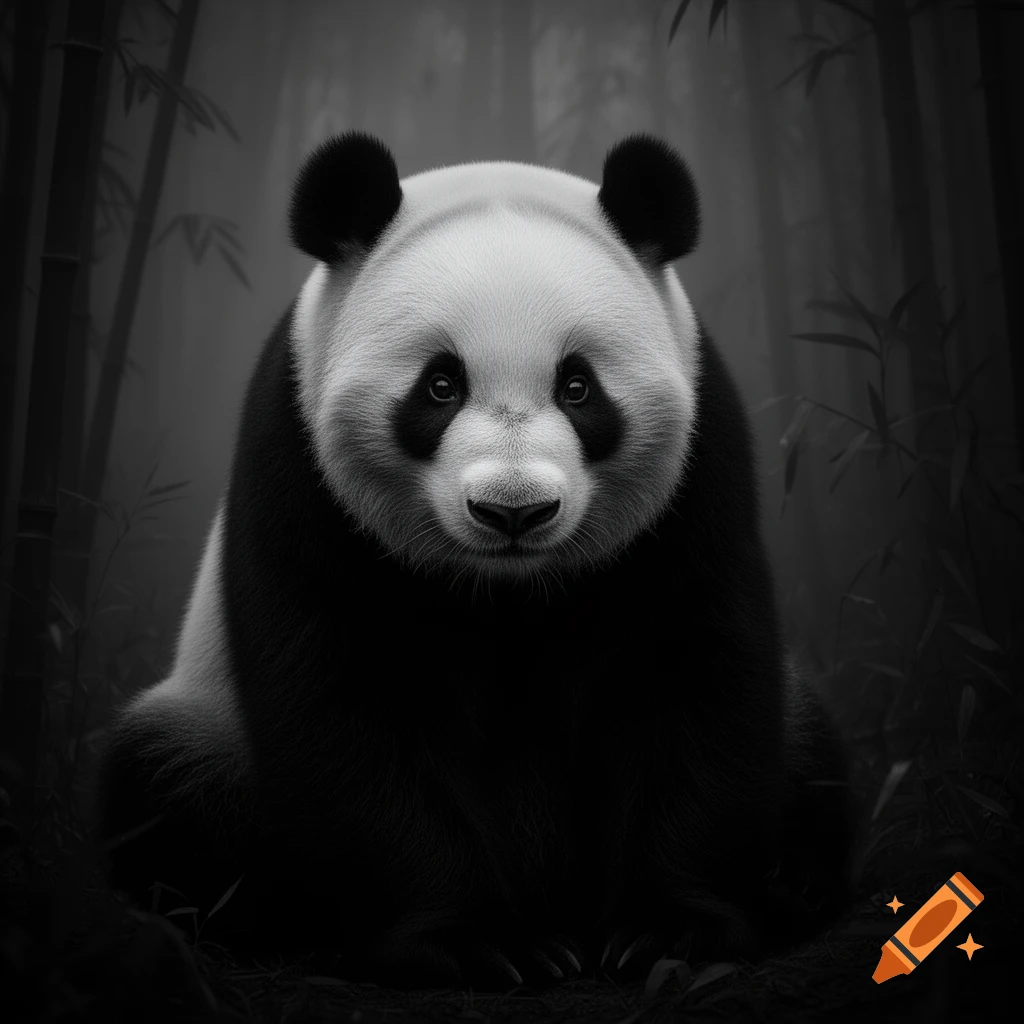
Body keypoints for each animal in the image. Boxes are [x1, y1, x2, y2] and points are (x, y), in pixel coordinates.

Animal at [98, 132, 856, 990]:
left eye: (578, 386)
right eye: (440, 385)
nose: (514, 511)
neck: (508, 589)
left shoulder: (697, 480)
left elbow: (692, 675)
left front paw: (668, 930)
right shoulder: (297, 471)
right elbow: (344, 705)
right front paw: (478, 943)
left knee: (813, 755)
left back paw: (794, 881)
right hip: (211, 729)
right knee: (162, 788)